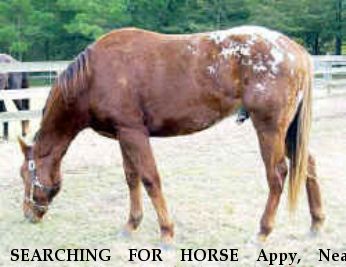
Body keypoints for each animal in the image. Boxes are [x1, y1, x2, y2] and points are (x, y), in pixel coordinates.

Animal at [18, 26, 324, 244]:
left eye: (25, 175)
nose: (28, 214)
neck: (93, 77)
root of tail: (295, 50)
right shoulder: (123, 135)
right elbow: (132, 178)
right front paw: (131, 225)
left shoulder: (134, 133)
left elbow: (150, 180)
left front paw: (166, 231)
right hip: (289, 131)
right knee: (308, 165)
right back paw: (316, 223)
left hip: (269, 129)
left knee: (277, 175)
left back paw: (263, 231)